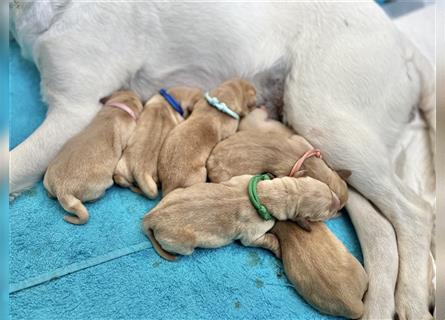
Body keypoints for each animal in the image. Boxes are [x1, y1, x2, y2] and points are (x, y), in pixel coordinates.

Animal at [142, 174, 340, 262]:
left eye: (328, 188)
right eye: (326, 212)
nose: (339, 203)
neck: (265, 195)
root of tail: (150, 217)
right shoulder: (252, 236)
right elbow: (268, 240)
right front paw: (278, 249)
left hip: (176, 192)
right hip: (183, 245)